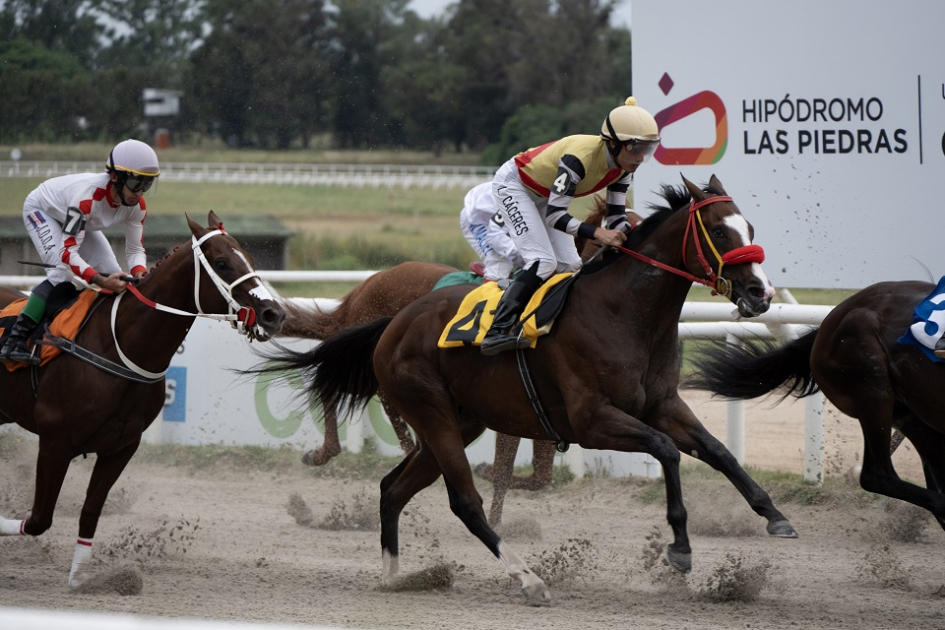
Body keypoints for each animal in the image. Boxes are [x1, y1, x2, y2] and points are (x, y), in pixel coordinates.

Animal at [0, 211, 286, 588]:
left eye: (250, 259)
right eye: (222, 263)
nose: (273, 314)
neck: (117, 345)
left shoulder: (122, 447)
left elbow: (90, 510)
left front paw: (80, 578)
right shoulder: (55, 442)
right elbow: (39, 519)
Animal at [257, 174, 797, 605]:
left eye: (751, 229)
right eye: (721, 231)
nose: (760, 294)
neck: (621, 313)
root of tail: (392, 322)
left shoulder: (662, 404)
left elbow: (718, 451)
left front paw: (774, 516)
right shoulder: (592, 421)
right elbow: (665, 451)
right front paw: (680, 548)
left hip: (459, 422)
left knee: (393, 488)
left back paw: (395, 575)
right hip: (431, 413)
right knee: (464, 502)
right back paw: (528, 578)